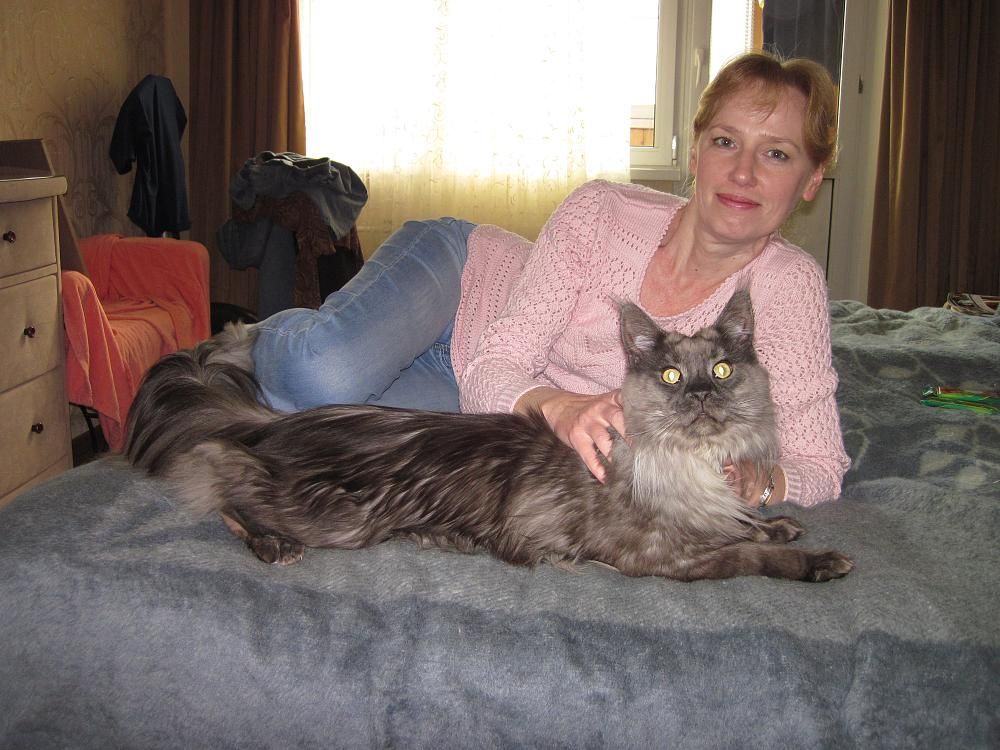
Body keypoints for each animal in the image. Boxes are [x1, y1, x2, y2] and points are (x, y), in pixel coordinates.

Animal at [125, 290, 853, 582]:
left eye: (723, 369)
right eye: (673, 374)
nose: (701, 396)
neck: (691, 464)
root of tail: (280, 420)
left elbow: (747, 525)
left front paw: (780, 522)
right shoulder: (656, 557)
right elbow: (748, 556)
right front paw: (813, 561)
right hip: (332, 516)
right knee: (219, 486)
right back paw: (271, 545)